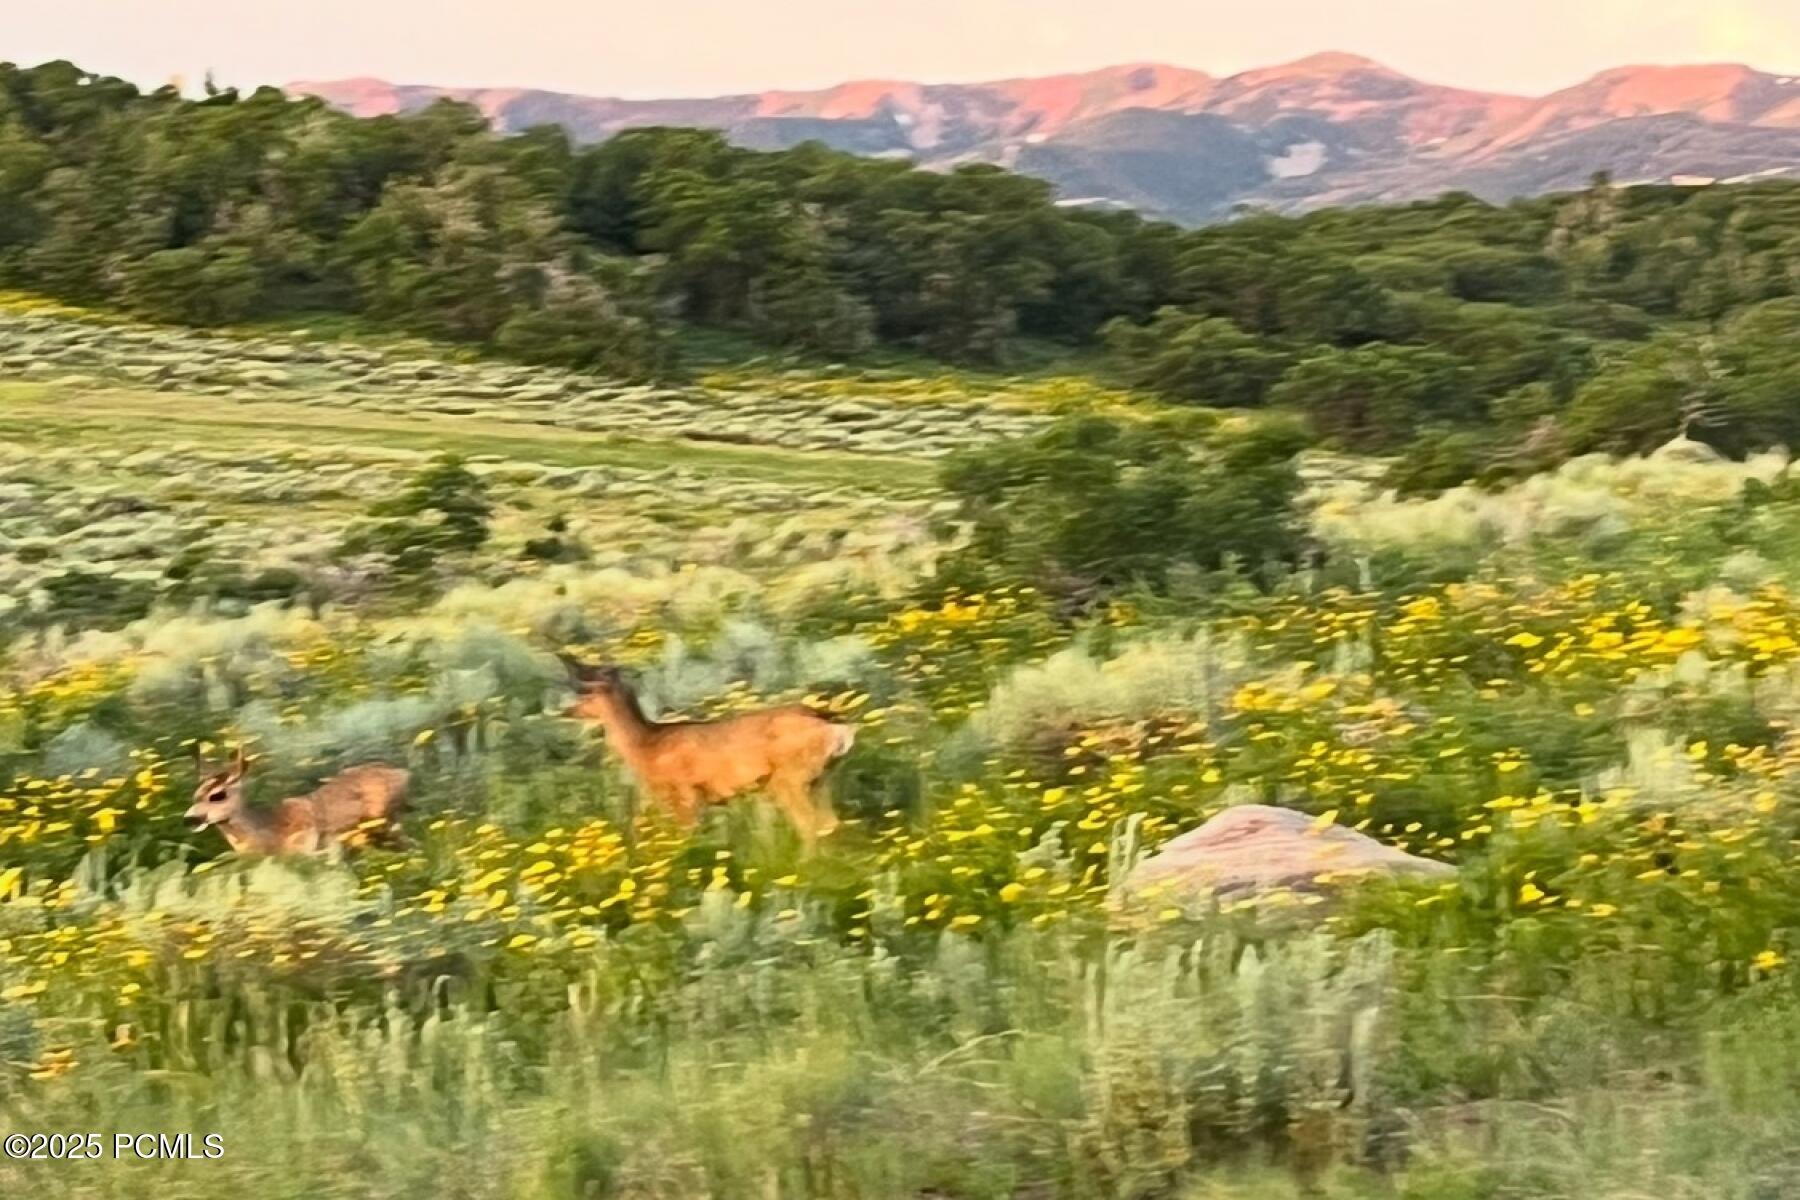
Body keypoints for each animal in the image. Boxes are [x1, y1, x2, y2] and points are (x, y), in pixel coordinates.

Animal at [559, 656, 855, 846]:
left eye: (586, 694)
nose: (566, 711)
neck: (647, 746)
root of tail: (834, 725)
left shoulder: (684, 794)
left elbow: (687, 839)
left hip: (790, 778)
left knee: (809, 825)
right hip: (821, 778)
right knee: (830, 823)